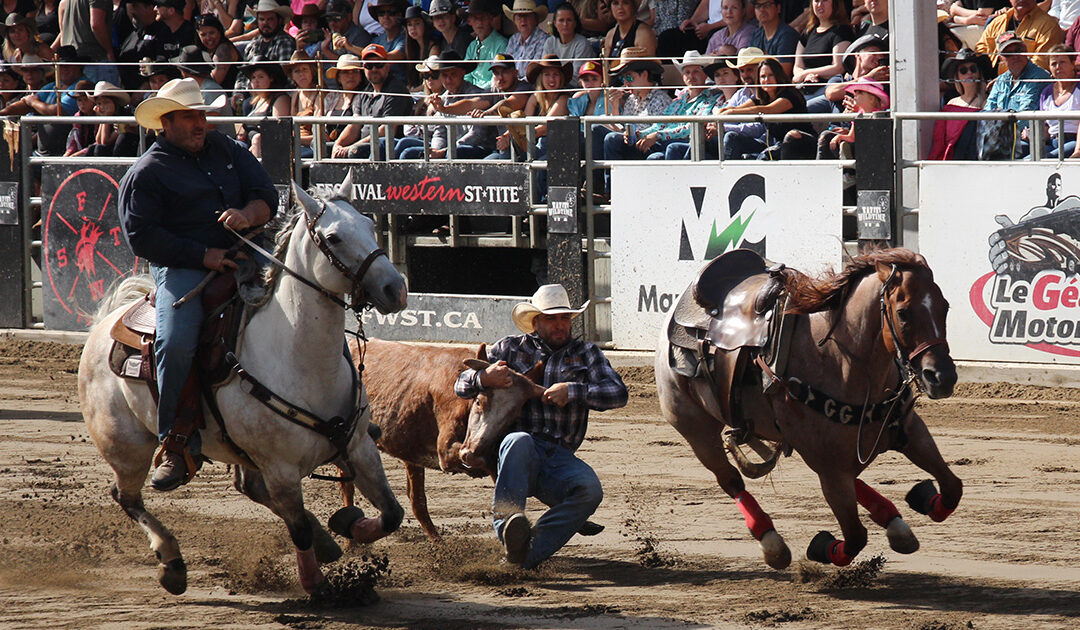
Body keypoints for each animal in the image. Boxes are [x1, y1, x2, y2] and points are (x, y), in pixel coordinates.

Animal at [78, 178, 408, 596]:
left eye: (369, 225)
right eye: (333, 237)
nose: (395, 288)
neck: (300, 357)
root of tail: (108, 321)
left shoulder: (360, 446)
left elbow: (392, 514)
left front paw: (346, 524)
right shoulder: (281, 468)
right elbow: (297, 529)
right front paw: (316, 583)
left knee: (249, 489)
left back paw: (326, 541)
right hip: (126, 447)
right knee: (127, 497)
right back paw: (171, 562)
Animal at [652, 248, 959, 570]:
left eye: (944, 307)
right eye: (903, 313)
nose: (942, 377)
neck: (839, 359)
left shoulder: (909, 431)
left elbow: (952, 488)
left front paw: (926, 498)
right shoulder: (830, 468)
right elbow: (854, 536)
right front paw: (822, 547)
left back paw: (895, 524)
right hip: (696, 429)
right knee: (731, 480)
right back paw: (772, 543)